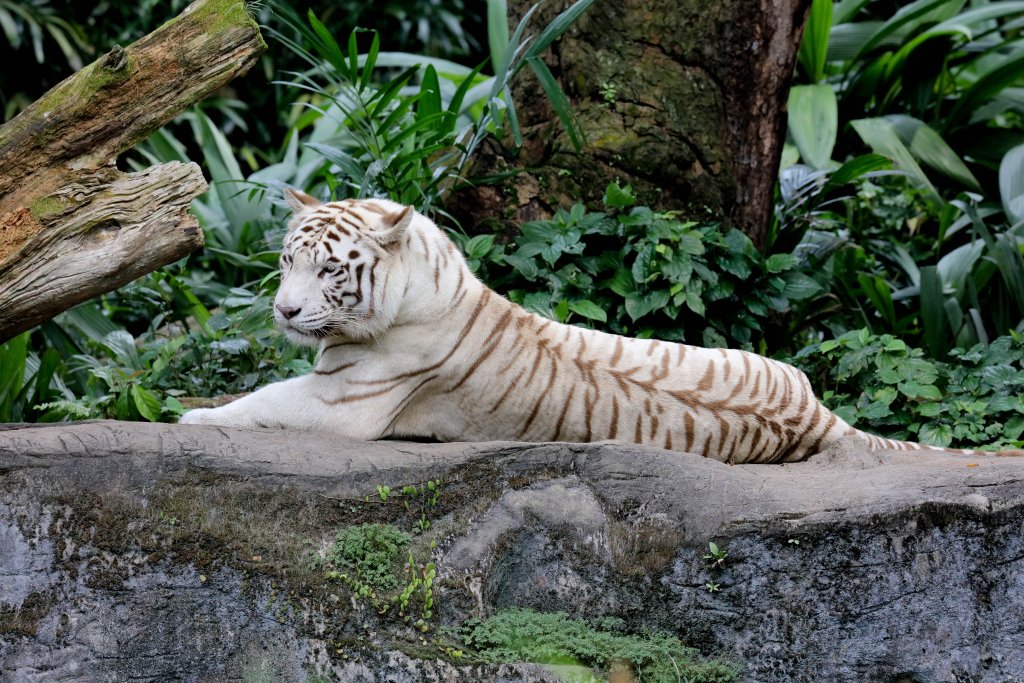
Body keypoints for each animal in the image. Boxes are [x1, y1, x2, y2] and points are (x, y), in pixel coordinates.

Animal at [179, 189, 1013, 463]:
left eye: (328, 271)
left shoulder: (339, 403)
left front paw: (188, 417)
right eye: (286, 261)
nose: (285, 310)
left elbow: (257, 403)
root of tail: (816, 413)